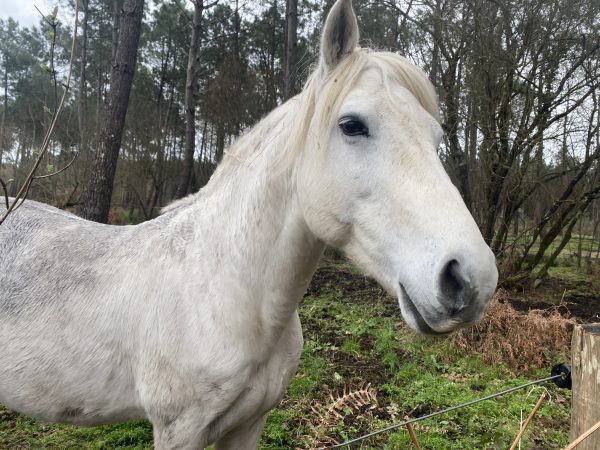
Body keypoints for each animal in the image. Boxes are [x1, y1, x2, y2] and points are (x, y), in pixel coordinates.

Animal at [0, 1, 496, 448]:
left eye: (435, 137)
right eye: (352, 125)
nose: (471, 279)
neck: (223, 292)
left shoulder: (250, 422)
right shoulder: (178, 431)